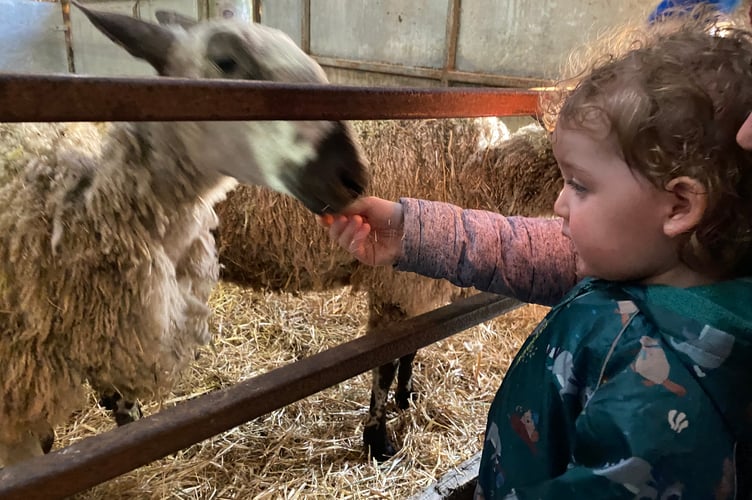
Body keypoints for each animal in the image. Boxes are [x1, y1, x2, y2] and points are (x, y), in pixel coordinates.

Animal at [214, 118, 560, 461]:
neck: (482, 171)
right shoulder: (396, 289)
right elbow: (384, 364)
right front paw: (378, 440)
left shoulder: (415, 290)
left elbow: (411, 349)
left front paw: (406, 397)